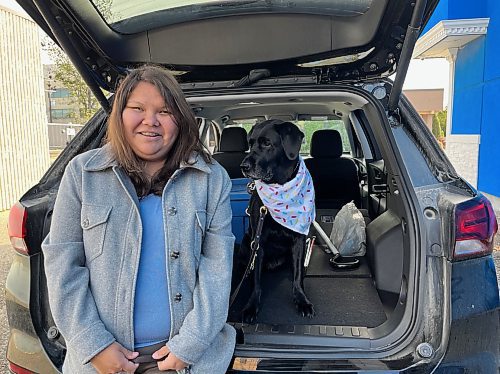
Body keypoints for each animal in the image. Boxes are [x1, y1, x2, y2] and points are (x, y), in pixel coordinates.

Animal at [236, 119, 314, 322]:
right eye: (250, 143)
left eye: (267, 143)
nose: (243, 166)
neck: (280, 186)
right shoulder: (258, 240)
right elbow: (256, 280)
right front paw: (251, 305)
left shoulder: (299, 240)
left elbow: (297, 276)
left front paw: (301, 299)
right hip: (247, 242)